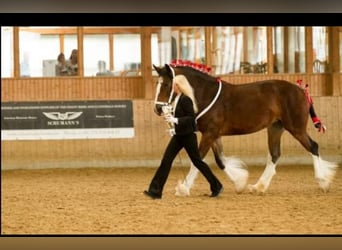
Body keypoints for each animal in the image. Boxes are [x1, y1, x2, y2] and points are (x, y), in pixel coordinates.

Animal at [154, 62, 338, 195]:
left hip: (296, 128)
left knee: (313, 147)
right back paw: (258, 187)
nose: (157, 109)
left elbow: (197, 160)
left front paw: (183, 188)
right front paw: (240, 182)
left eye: (167, 84)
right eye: (157, 83)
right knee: (275, 154)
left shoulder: (210, 133)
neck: (206, 94)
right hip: (275, 128)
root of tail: (301, 90)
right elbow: (220, 161)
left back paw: (323, 181)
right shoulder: (214, 134)